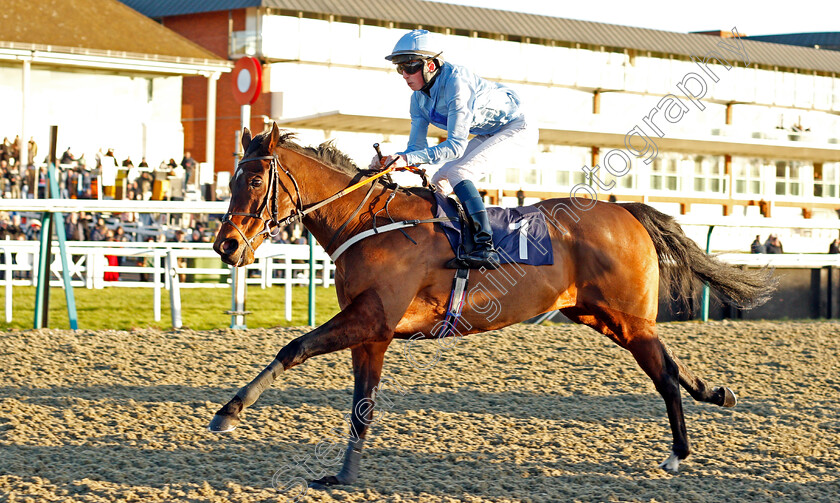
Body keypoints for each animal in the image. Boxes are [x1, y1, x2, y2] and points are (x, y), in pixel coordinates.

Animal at [210, 124, 776, 490]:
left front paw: (228, 412)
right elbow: (360, 407)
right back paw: (717, 394)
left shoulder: (371, 319)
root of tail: (628, 211)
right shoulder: (374, 333)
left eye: (254, 181)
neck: (368, 223)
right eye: (231, 179)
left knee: (662, 375)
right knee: (672, 365)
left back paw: (678, 455)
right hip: (600, 316)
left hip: (628, 318)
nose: (226, 246)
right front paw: (344, 474)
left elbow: (294, 347)